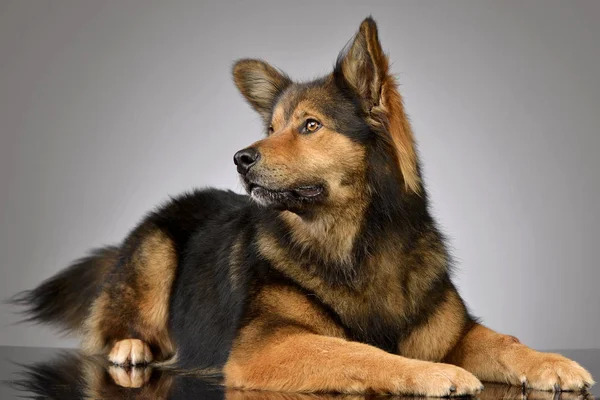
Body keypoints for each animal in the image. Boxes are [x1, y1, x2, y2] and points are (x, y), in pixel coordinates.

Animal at [15, 17, 596, 396]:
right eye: (271, 128)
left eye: (310, 125)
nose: (240, 158)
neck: (357, 241)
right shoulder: (266, 347)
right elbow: (360, 350)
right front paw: (434, 374)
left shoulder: (453, 331)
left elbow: (507, 340)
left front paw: (553, 363)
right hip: (156, 253)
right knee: (111, 326)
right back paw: (132, 347)